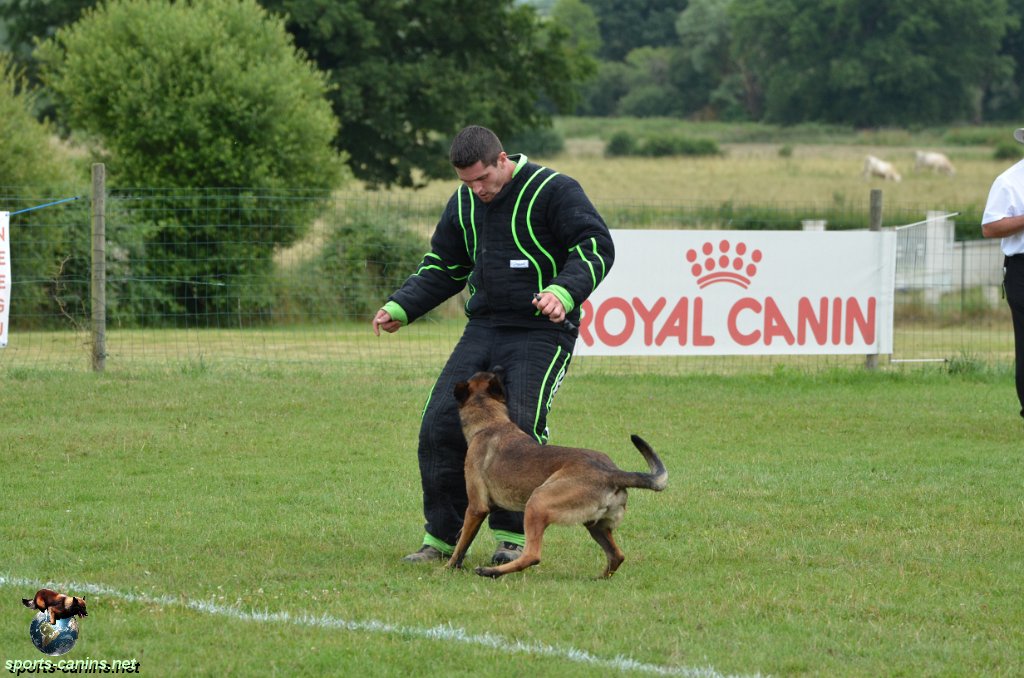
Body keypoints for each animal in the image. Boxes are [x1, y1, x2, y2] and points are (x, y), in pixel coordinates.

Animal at [446, 369, 667, 579]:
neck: (490, 423)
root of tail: (610, 472)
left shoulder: (476, 508)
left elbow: (461, 544)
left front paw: (448, 567)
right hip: (595, 525)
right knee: (617, 556)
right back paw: (597, 579)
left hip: (537, 502)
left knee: (532, 555)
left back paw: (490, 572)